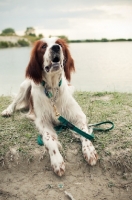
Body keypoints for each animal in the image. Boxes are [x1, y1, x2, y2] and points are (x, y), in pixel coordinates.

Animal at [1, 36, 97, 176]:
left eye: (60, 44)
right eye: (43, 46)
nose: (56, 47)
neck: (52, 89)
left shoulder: (78, 115)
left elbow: (84, 133)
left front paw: (89, 151)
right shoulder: (42, 121)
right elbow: (49, 139)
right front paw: (57, 161)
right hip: (25, 85)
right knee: (14, 102)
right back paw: (7, 111)